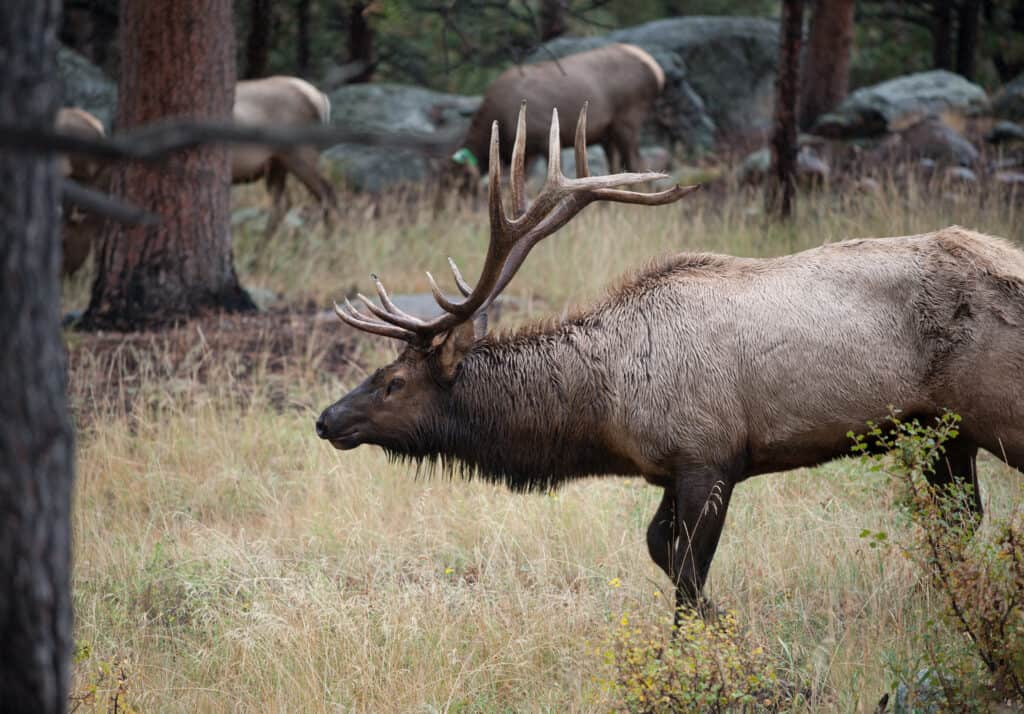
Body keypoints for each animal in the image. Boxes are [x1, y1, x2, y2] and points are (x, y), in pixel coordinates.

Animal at [315, 104, 1019, 618]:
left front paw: (709, 641)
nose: (325, 420)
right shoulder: (668, 468)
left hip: (996, 413)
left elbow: (687, 567)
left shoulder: (711, 455)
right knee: (961, 520)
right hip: (945, 432)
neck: (604, 409)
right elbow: (662, 551)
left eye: (393, 381)